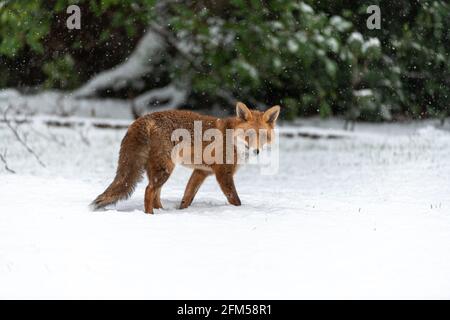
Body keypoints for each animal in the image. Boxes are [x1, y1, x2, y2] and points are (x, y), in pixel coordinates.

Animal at [91, 101, 280, 214]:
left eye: (263, 136)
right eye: (249, 135)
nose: (256, 151)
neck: (232, 139)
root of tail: (142, 118)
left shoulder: (201, 172)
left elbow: (187, 197)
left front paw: (182, 211)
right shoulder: (223, 173)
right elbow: (235, 199)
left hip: (160, 169)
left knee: (155, 193)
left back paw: (162, 212)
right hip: (165, 169)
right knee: (149, 190)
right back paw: (150, 215)